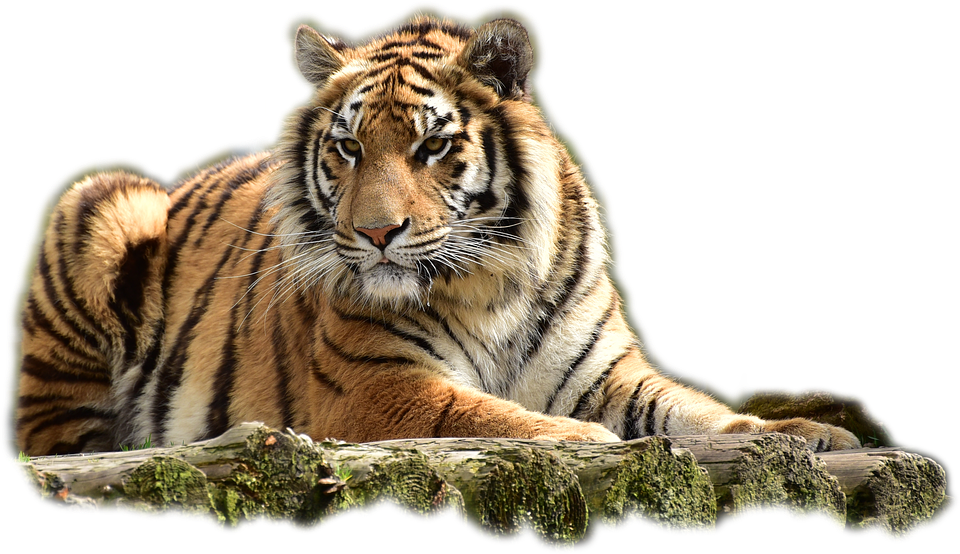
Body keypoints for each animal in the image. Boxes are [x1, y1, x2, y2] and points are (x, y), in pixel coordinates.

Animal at [14, 15, 861, 456]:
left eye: (431, 146)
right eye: (348, 148)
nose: (376, 232)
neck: (493, 286)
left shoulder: (607, 376)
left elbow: (694, 411)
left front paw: (803, 433)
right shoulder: (376, 389)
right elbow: (487, 416)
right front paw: (585, 442)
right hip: (104, 204)